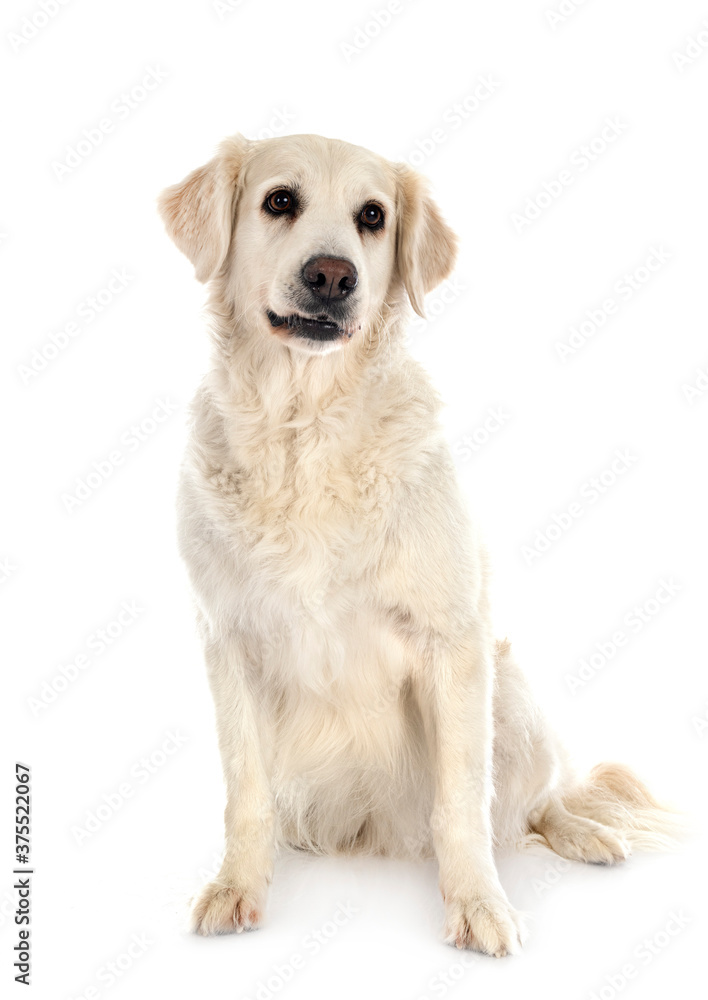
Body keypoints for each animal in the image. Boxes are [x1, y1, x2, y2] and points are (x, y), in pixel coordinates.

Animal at [158, 131, 676, 952]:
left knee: (540, 798)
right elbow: (246, 792)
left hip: (512, 694)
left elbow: (463, 802)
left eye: (372, 216)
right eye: (279, 200)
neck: (306, 431)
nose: (332, 275)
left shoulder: (451, 642)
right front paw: (239, 885)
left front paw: (478, 905)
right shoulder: (228, 640)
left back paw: (585, 834)